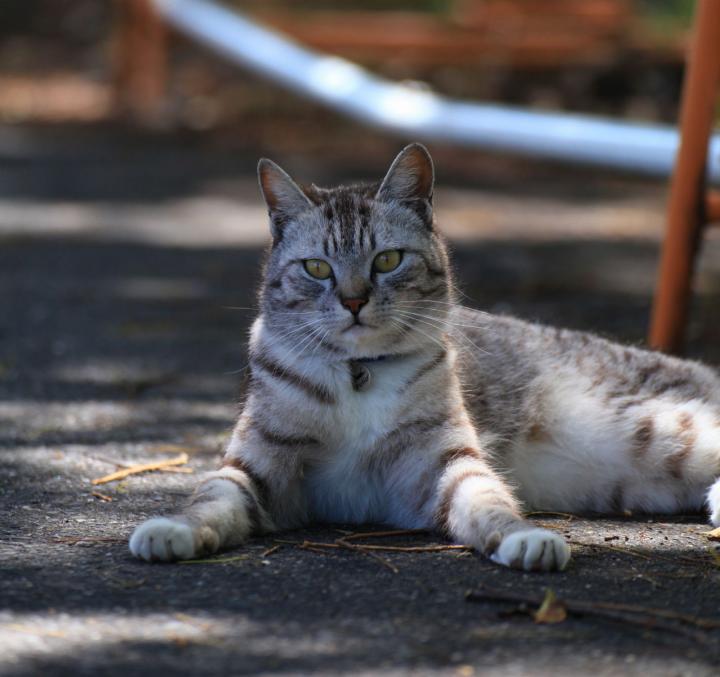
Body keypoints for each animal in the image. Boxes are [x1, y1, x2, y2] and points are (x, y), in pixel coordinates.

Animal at [129, 143, 720, 571]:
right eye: (317, 268)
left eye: (387, 260)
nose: (353, 301)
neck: (358, 375)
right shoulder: (256, 468)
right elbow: (210, 500)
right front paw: (173, 531)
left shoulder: (447, 463)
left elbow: (489, 503)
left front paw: (525, 538)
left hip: (664, 429)